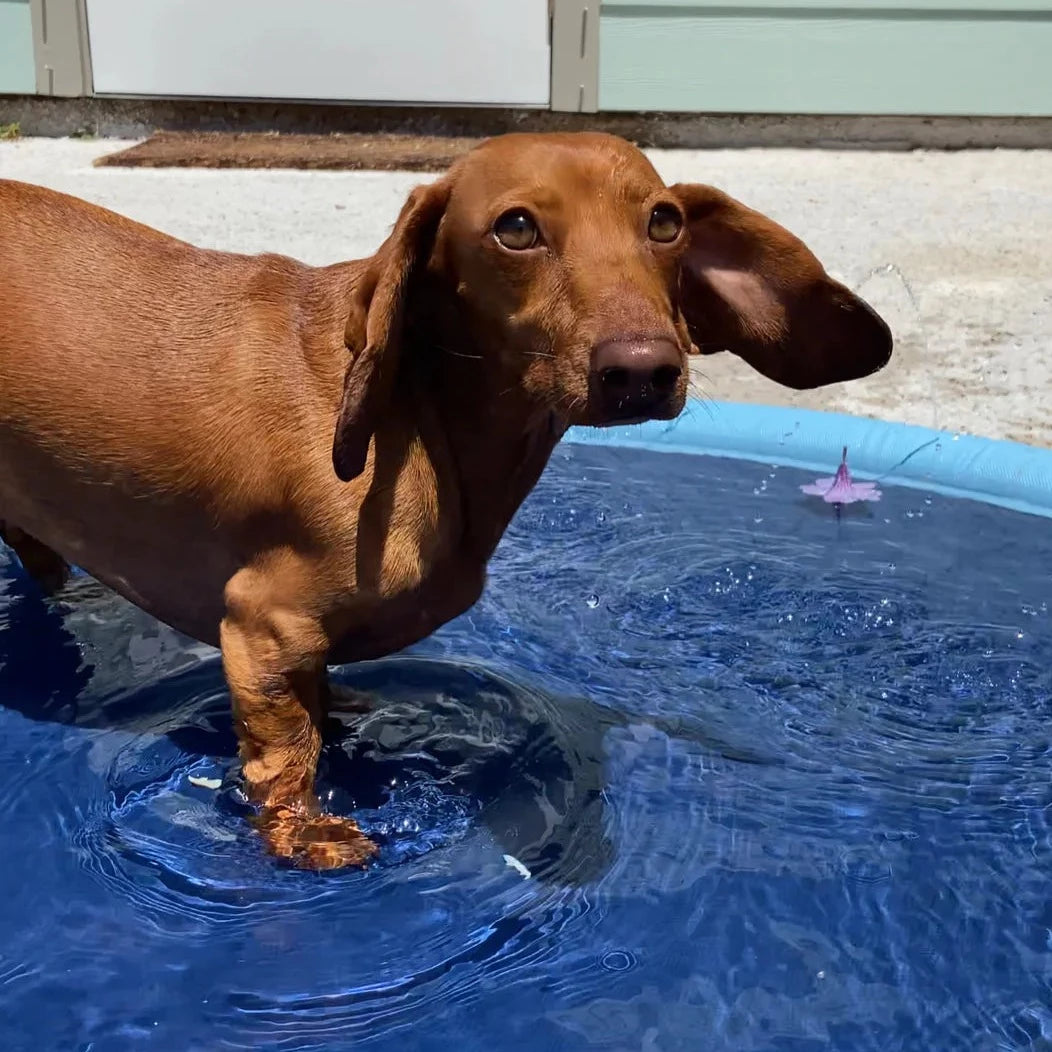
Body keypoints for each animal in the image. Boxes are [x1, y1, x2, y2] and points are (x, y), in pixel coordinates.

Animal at [0, 133, 892, 871]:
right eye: (516, 228)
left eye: (664, 222)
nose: (642, 370)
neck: (418, 418)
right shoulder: (260, 629)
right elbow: (286, 767)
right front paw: (303, 836)